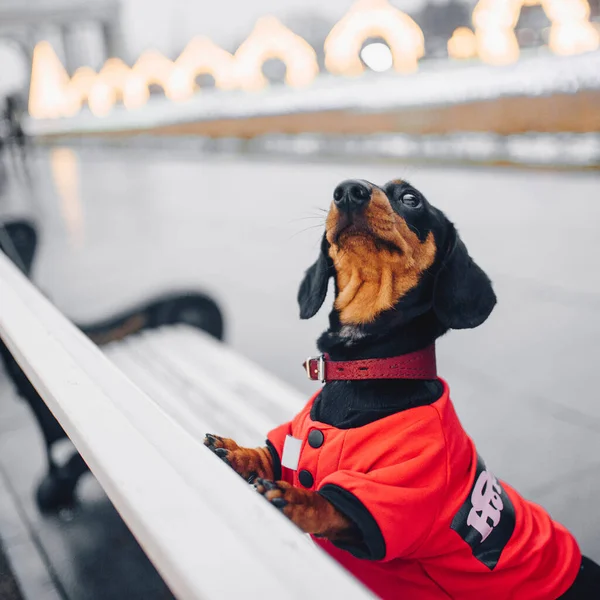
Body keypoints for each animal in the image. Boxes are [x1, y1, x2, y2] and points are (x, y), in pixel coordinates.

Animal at [204, 180, 596, 600]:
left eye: (411, 199)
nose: (348, 190)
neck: (367, 367)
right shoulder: (291, 444)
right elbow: (269, 455)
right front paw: (238, 452)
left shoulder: (397, 491)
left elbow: (332, 504)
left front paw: (294, 496)